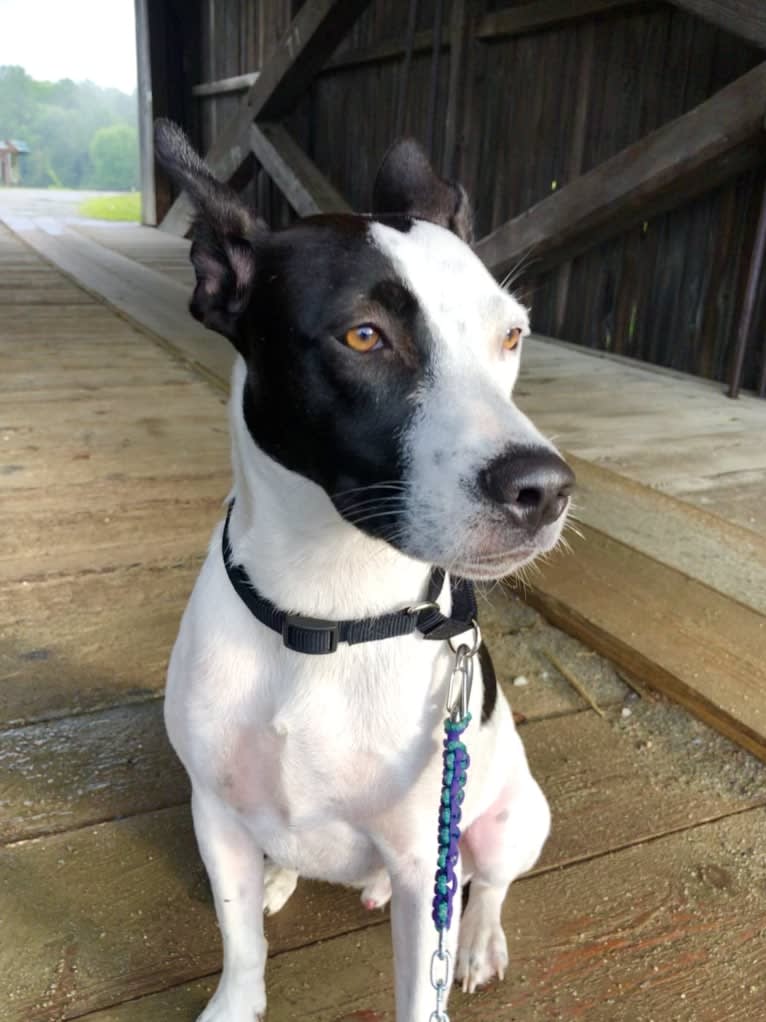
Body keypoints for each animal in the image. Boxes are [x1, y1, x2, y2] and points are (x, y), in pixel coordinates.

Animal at [156, 121, 576, 1021]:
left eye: (512, 336)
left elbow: (422, 985)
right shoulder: (215, 813)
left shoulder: (424, 863)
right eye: (364, 336)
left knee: (487, 884)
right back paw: (283, 876)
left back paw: (478, 940)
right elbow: (241, 943)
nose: (544, 489)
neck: (328, 613)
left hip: (512, 820)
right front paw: (237, 995)